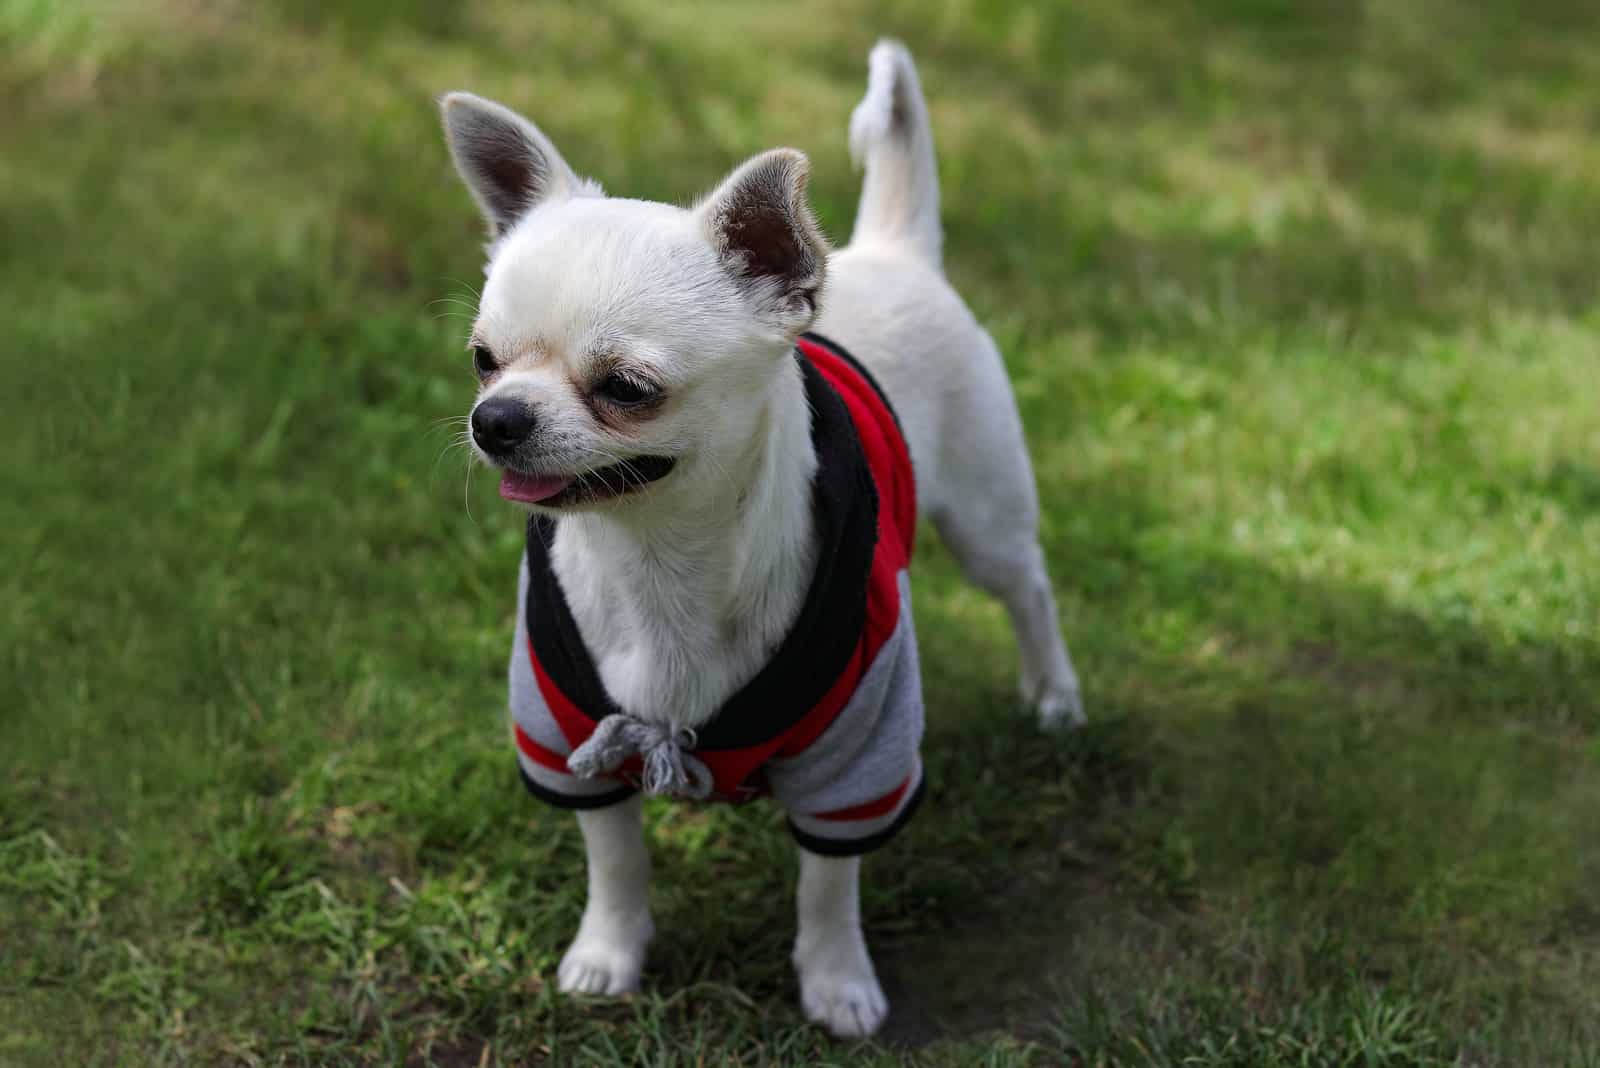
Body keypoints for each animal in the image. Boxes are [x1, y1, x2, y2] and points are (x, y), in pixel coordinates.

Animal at [444, 39, 1081, 1036]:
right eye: (483, 360)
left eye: (627, 388)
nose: (495, 418)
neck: (658, 562)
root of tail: (892, 251)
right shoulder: (567, 738)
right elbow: (614, 857)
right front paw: (608, 952)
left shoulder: (859, 762)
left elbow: (827, 886)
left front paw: (837, 981)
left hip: (987, 522)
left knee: (1031, 591)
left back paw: (1054, 693)